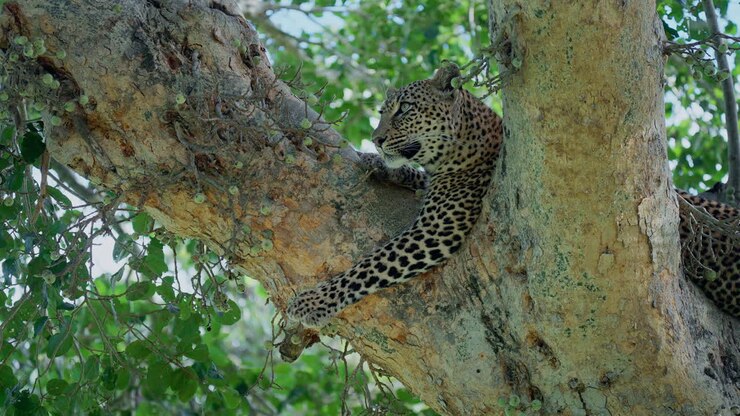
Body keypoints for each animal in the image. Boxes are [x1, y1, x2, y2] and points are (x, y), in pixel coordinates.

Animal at [286, 63, 739, 327]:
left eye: (404, 110)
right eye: (384, 112)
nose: (377, 139)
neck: (462, 147)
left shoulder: (435, 231)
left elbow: (369, 265)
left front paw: (312, 303)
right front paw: (380, 166)